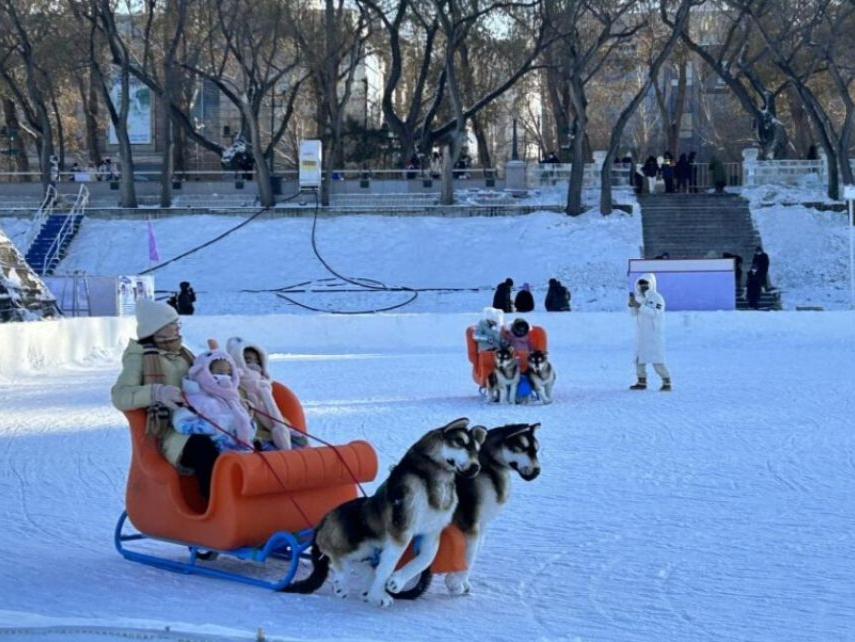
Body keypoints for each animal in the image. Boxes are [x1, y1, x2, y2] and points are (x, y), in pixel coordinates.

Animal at [284, 416, 484, 604]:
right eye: (459, 442)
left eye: (476, 449)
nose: (476, 466)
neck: (435, 480)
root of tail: (322, 520)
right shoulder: (401, 531)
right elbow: (388, 566)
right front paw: (377, 595)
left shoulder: (431, 533)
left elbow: (425, 558)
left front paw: (397, 581)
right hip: (354, 540)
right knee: (335, 554)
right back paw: (344, 583)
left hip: (368, 549)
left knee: (358, 563)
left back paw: (360, 582)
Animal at [448, 422, 540, 592]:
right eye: (521, 447)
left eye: (536, 450)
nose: (537, 471)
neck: (489, 466)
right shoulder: (469, 524)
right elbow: (468, 556)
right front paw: (454, 584)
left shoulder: (481, 523)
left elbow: (473, 551)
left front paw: (462, 583)